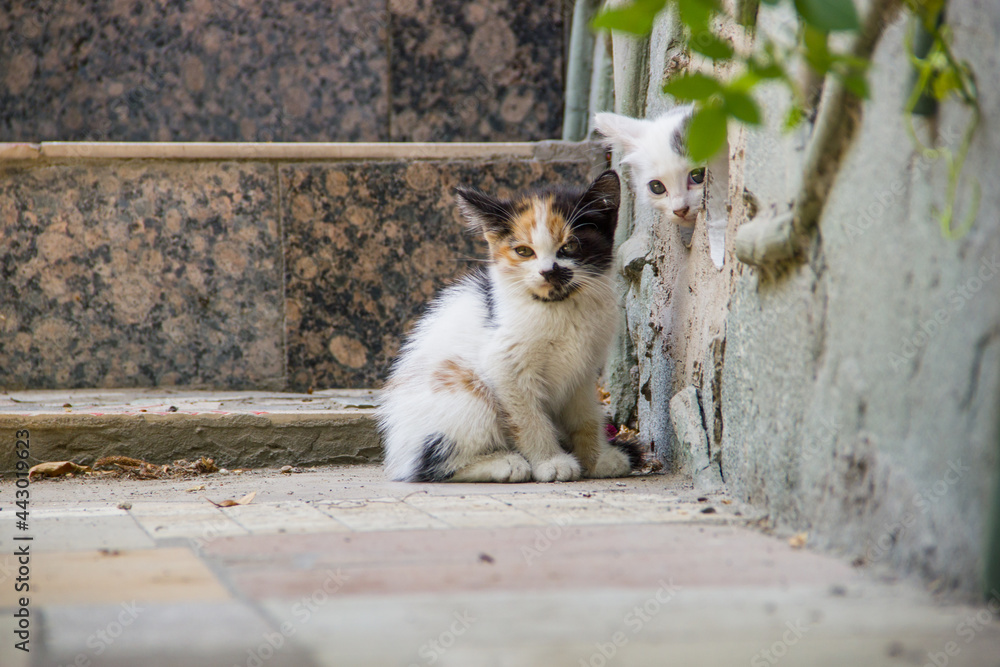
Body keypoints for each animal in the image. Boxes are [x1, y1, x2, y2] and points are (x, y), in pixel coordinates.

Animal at [376, 171, 640, 486]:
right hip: (466, 392)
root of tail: (397, 451)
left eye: (570, 246)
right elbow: (528, 419)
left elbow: (586, 415)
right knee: (430, 464)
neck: (558, 306)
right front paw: (550, 462)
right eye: (523, 251)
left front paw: (597, 458)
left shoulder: (583, 372)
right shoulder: (505, 365)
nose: (548, 271)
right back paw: (505, 463)